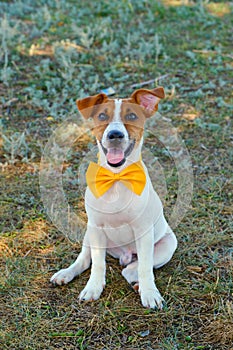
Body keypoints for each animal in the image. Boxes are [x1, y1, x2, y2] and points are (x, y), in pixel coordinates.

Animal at [51, 88, 177, 308]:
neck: (116, 178)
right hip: (89, 233)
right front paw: (93, 287)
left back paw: (138, 284)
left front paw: (150, 293)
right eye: (102, 116)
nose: (115, 134)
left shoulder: (144, 232)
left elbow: (145, 267)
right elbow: (97, 264)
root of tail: (124, 255)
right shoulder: (96, 228)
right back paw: (66, 273)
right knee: (85, 259)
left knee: (131, 269)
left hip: (168, 245)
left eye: (132, 116)